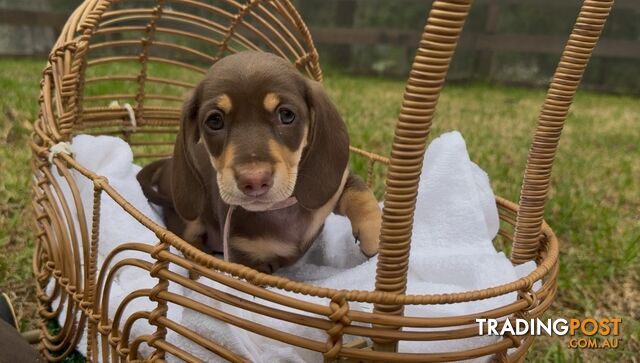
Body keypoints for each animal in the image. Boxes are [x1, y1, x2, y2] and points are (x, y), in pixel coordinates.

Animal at [138, 50, 382, 272]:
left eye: (286, 115)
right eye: (215, 120)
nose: (254, 181)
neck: (278, 209)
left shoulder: (333, 186)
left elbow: (359, 192)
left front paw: (375, 233)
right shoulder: (247, 259)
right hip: (189, 219)